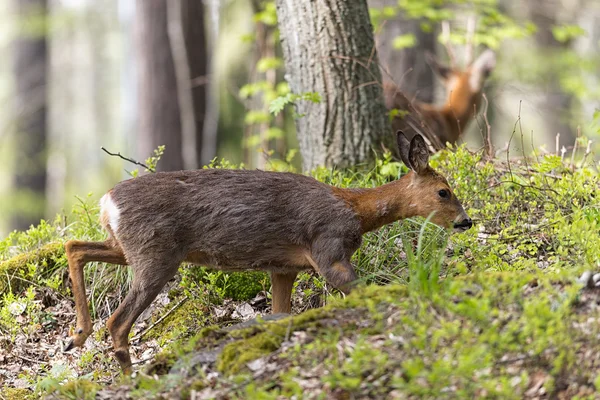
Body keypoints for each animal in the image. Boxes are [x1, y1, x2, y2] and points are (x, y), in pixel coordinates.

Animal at [62, 133, 474, 374]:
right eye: (444, 191)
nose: (466, 221)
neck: (356, 210)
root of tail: (107, 202)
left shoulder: (284, 268)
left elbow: (280, 312)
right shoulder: (328, 250)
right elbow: (366, 289)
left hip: (128, 247)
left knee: (75, 247)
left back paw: (77, 334)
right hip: (156, 254)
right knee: (117, 321)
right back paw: (126, 373)